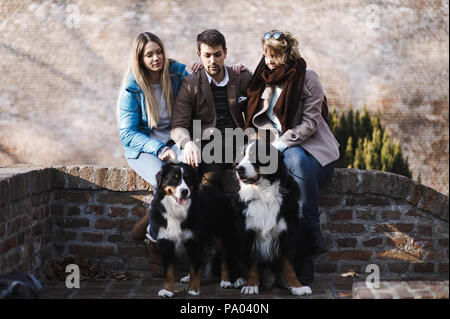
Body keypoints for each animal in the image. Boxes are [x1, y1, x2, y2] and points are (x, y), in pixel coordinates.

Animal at [150, 164, 243, 298]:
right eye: (174, 178)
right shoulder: (166, 242)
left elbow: (195, 269)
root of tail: (220, 194)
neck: (177, 211)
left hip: (223, 234)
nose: (185, 191)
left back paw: (229, 280)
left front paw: (194, 289)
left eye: (188, 179)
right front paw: (167, 290)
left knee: (225, 255)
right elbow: (170, 271)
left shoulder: (194, 240)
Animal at [236, 141, 312, 298]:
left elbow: (288, 265)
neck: (264, 193)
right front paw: (251, 285)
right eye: (241, 157)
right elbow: (252, 263)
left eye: (255, 155)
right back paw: (240, 280)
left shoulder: (288, 234)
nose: (238, 168)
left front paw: (297, 286)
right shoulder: (249, 233)